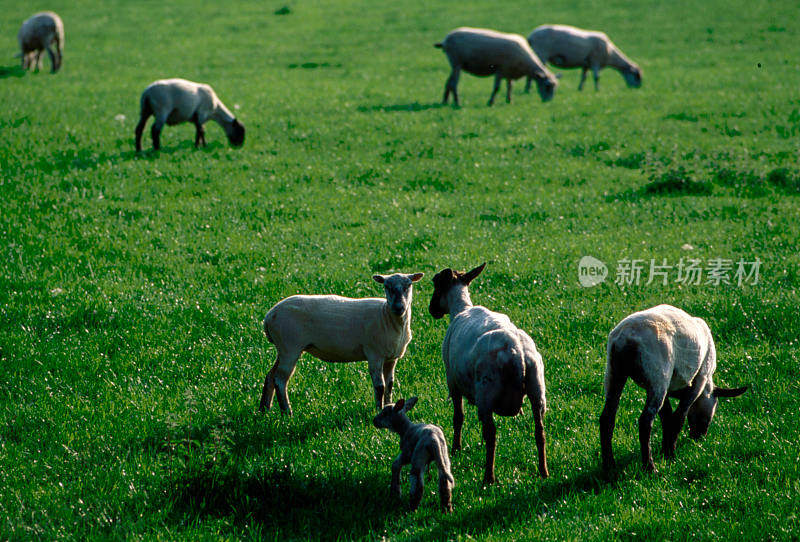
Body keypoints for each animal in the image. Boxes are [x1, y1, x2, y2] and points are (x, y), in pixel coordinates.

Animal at [260, 272, 424, 416]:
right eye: (387, 286)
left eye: (409, 285)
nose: (398, 307)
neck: (387, 317)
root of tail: (269, 316)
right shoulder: (374, 354)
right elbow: (380, 387)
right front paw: (379, 409)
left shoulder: (391, 358)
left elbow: (390, 385)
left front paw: (389, 407)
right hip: (290, 347)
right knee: (280, 380)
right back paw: (287, 412)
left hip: (283, 348)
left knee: (270, 376)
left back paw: (264, 410)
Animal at [428, 264, 548, 484]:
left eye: (436, 284)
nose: (432, 310)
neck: (461, 308)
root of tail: (516, 352)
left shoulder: (452, 382)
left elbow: (458, 417)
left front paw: (456, 449)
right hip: (538, 390)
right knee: (540, 431)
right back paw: (543, 472)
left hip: (486, 393)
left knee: (491, 433)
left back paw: (488, 477)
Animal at [600, 304, 752, 474]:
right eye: (711, 413)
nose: (699, 437)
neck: (707, 388)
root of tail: (626, 338)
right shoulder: (699, 380)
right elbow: (679, 417)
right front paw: (671, 455)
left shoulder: (666, 389)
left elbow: (666, 416)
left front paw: (665, 451)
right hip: (658, 376)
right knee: (645, 421)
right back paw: (650, 468)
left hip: (614, 373)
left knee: (607, 418)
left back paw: (609, 466)